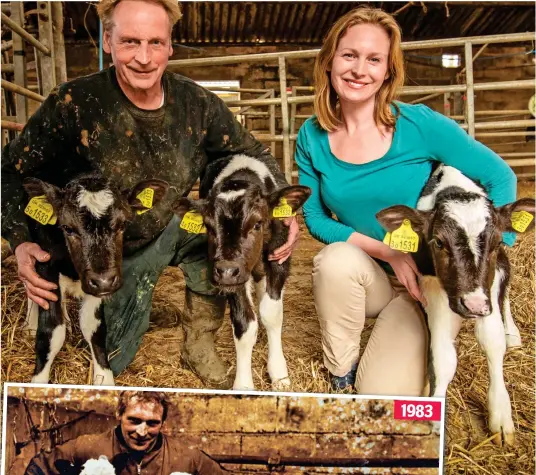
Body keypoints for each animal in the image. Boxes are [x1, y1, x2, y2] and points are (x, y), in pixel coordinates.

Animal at [22, 174, 168, 386]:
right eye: (67, 228)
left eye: (123, 224)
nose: (104, 280)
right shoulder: (47, 266)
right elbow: (52, 331)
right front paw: (38, 382)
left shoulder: (98, 287)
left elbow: (94, 328)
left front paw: (104, 380)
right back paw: (30, 324)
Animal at [172, 156, 310, 390]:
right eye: (208, 227)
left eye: (257, 223)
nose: (226, 271)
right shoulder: (231, 277)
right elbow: (244, 323)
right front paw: (244, 385)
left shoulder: (279, 259)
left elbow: (271, 314)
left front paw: (279, 374)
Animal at [378, 164, 532, 446]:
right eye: (439, 242)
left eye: (496, 242)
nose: (473, 306)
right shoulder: (430, 284)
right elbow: (442, 356)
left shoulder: (488, 286)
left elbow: (493, 340)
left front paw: (501, 415)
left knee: (506, 291)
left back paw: (513, 333)